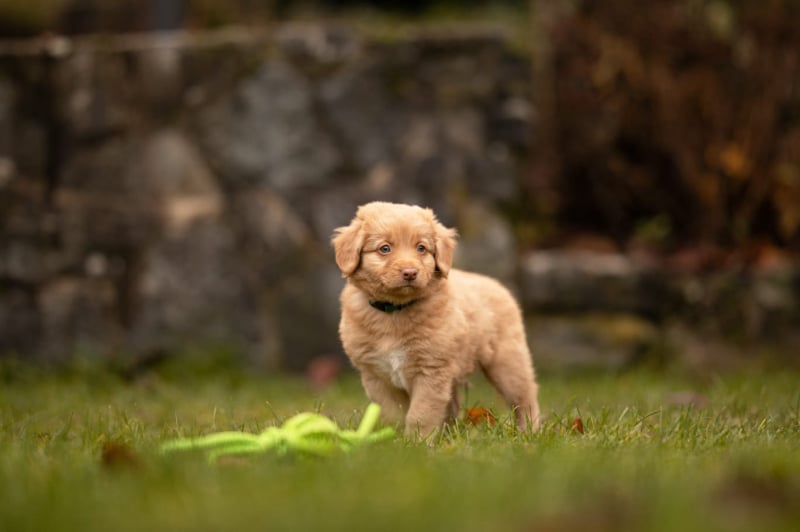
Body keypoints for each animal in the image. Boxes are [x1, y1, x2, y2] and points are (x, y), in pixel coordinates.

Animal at [332, 201, 540, 437]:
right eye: (384, 248)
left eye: (421, 248)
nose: (410, 273)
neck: (395, 311)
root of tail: (496, 284)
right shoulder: (376, 376)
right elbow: (392, 413)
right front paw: (394, 438)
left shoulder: (431, 371)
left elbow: (421, 413)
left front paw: (418, 442)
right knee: (454, 404)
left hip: (508, 363)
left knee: (525, 397)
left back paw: (529, 431)